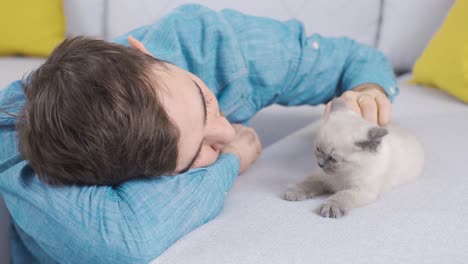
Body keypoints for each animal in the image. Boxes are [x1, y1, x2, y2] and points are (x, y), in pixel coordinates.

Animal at [284, 98, 426, 218]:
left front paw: (331, 208)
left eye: (333, 159)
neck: (342, 174)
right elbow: (308, 182)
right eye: (318, 149)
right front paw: (293, 192)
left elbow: (342, 195)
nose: (320, 164)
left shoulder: (360, 190)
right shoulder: (321, 177)